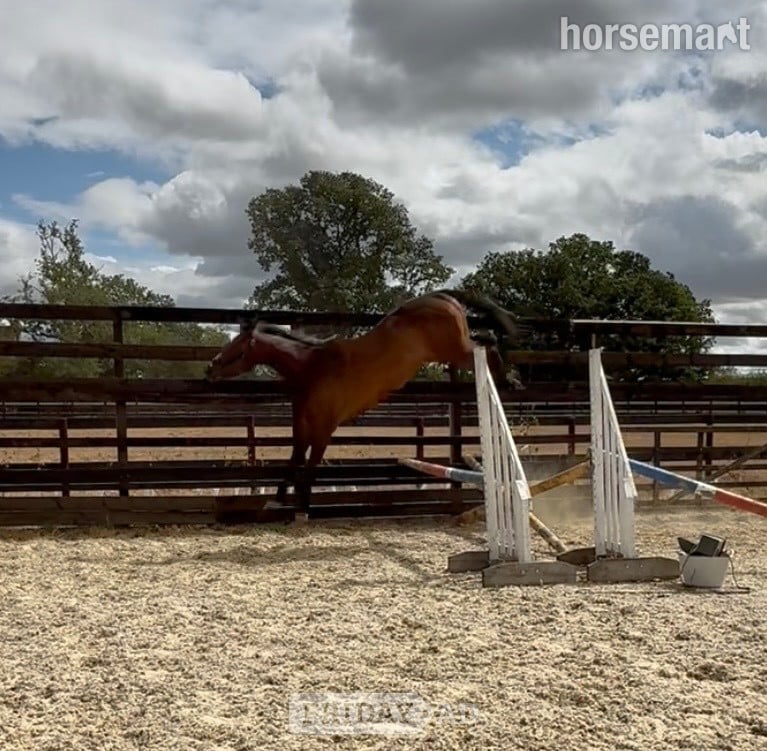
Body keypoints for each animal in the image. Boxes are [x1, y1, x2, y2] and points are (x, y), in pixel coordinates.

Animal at [205, 289, 525, 518]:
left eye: (238, 346)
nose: (211, 367)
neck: (312, 368)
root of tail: (441, 297)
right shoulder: (302, 421)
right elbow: (295, 457)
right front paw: (279, 499)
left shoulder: (324, 428)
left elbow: (310, 464)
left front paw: (302, 507)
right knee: (488, 341)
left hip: (457, 349)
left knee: (488, 344)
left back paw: (510, 380)